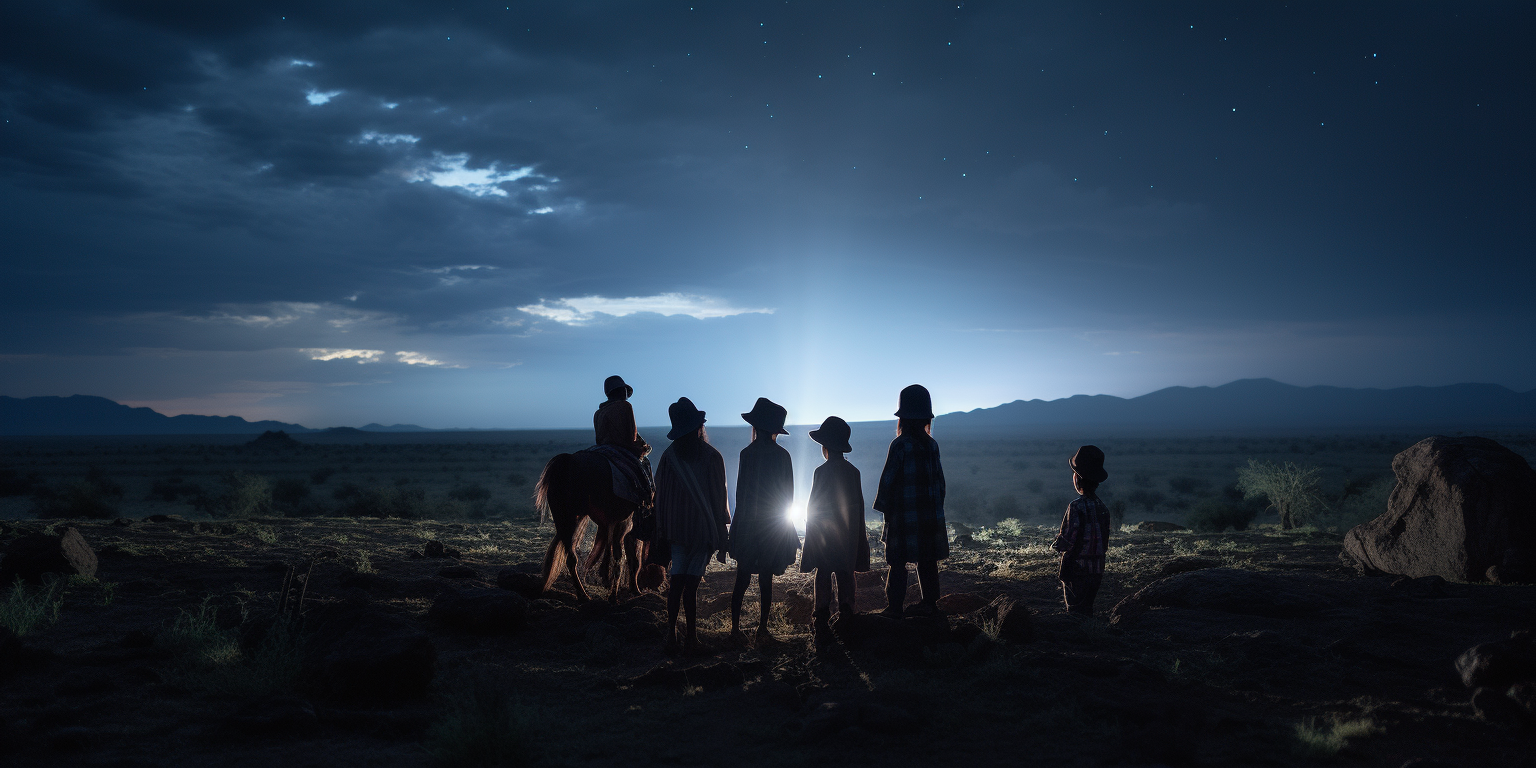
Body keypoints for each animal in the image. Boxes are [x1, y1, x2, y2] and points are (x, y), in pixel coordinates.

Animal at [534, 448, 654, 599]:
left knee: (570, 557)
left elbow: (630, 559)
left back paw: (582, 593)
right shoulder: (627, 526)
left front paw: (632, 589)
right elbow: (628, 560)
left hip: (569, 520)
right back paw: (587, 594)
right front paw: (628, 591)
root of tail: (568, 461)